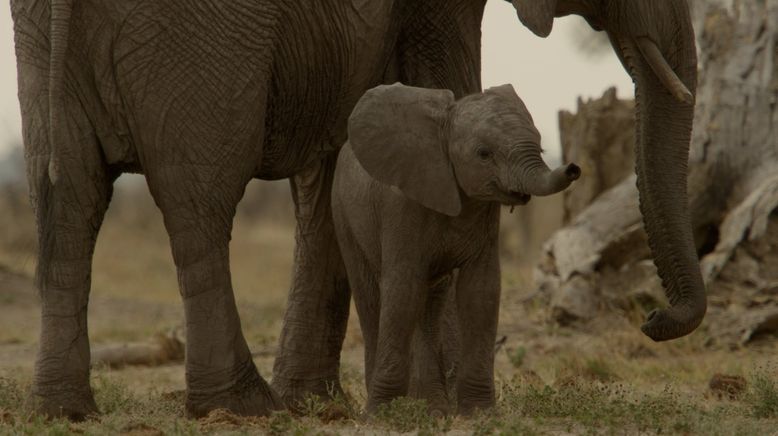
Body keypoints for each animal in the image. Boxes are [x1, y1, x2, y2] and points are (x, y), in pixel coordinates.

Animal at [330, 83, 580, 414]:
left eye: (539, 146)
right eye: (484, 154)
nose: (574, 167)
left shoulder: (487, 212)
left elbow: (481, 291)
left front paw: (479, 415)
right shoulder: (401, 206)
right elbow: (402, 290)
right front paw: (381, 415)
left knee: (429, 305)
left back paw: (433, 410)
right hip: (343, 213)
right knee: (372, 297)